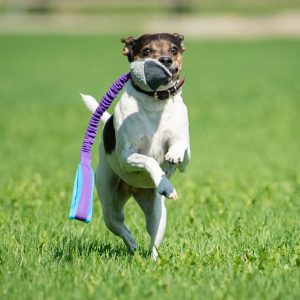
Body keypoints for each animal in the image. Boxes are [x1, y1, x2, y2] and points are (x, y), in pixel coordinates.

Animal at [81, 32, 191, 258]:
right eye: (147, 50)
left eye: (174, 49)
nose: (165, 60)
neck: (156, 103)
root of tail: (133, 190)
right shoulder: (127, 157)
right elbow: (149, 161)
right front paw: (164, 181)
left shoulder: (186, 155)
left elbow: (181, 148)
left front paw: (173, 157)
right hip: (110, 204)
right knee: (119, 225)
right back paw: (132, 244)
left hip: (158, 213)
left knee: (153, 238)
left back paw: (152, 259)